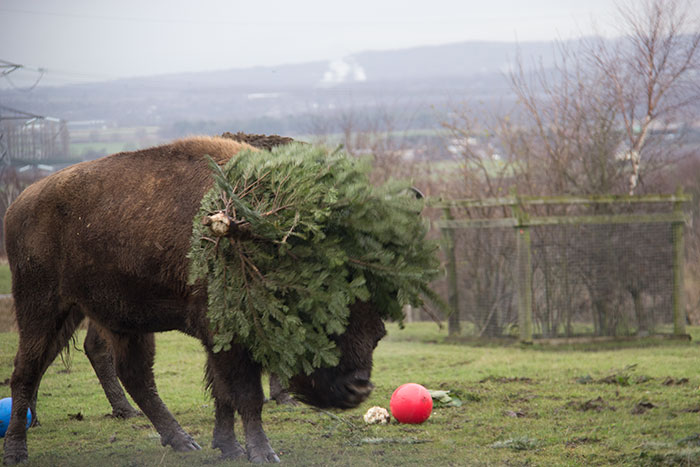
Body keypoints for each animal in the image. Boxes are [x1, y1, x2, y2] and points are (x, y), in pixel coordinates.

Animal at [2, 136, 387, 464]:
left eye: (378, 333)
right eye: (327, 324)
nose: (359, 388)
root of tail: (17, 205)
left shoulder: (219, 341)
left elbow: (223, 395)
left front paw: (228, 447)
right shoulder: (226, 339)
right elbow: (245, 396)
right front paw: (263, 453)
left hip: (112, 319)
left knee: (133, 376)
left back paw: (182, 440)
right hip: (42, 307)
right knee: (25, 372)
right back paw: (17, 451)